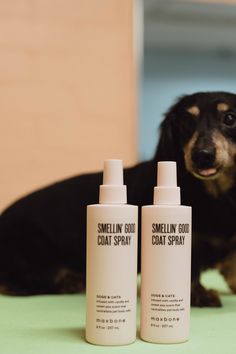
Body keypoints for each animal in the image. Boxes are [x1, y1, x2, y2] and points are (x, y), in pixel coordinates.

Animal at [0, 92, 236, 306]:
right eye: (186, 121)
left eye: (229, 118)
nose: (202, 155)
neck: (215, 198)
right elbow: (191, 271)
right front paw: (200, 295)